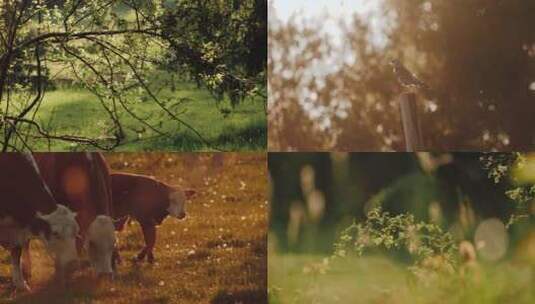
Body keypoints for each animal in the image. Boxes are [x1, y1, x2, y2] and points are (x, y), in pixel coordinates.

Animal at [0, 154, 79, 290]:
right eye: (55, 233)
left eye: (75, 232)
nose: (73, 262)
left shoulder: (17, 230)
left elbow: (16, 253)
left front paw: (21, 284)